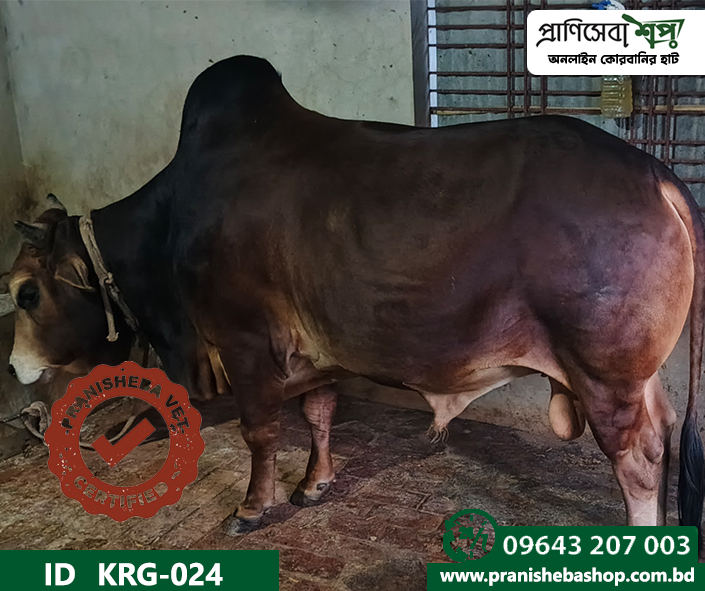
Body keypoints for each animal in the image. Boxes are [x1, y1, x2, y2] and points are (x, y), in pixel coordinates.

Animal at [5, 56, 704, 542]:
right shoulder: (315, 352)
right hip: (638, 377)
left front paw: (252, 507)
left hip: (605, 375)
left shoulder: (245, 338)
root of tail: (655, 174)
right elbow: (318, 414)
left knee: (639, 458)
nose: (15, 367)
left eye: (27, 292)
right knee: (667, 428)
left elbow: (260, 432)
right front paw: (314, 485)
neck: (172, 219)